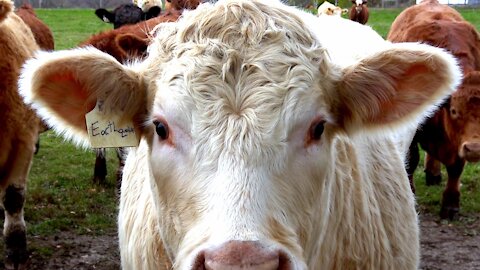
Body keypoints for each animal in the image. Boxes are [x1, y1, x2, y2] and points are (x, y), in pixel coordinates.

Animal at [386, 0, 480, 219]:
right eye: (454, 111)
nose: (475, 148)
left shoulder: (457, 141)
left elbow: (455, 168)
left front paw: (451, 203)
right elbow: (411, 159)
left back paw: (434, 173)